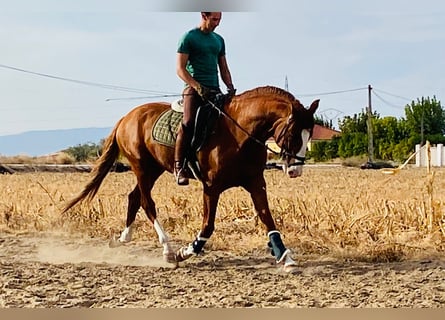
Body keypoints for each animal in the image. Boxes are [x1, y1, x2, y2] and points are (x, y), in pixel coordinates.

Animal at [62, 85, 320, 272]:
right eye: (294, 134)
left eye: (310, 135)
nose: (295, 171)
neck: (240, 134)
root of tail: (126, 117)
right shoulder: (211, 187)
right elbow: (208, 225)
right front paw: (185, 252)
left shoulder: (256, 183)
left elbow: (268, 218)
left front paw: (285, 257)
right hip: (142, 167)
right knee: (147, 203)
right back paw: (168, 250)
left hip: (154, 169)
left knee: (134, 197)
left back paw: (124, 237)